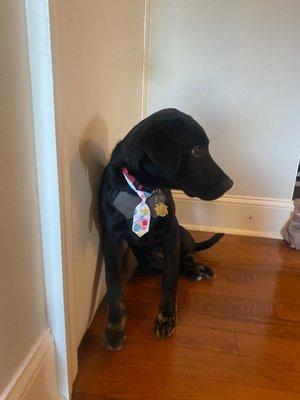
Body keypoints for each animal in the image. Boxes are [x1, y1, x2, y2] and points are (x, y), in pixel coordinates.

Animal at [99, 109, 233, 350]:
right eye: (196, 150)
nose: (229, 184)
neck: (142, 189)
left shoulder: (170, 232)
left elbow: (170, 280)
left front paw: (166, 317)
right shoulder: (110, 237)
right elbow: (112, 281)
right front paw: (115, 324)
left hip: (182, 234)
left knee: (184, 258)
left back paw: (196, 269)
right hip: (149, 262)